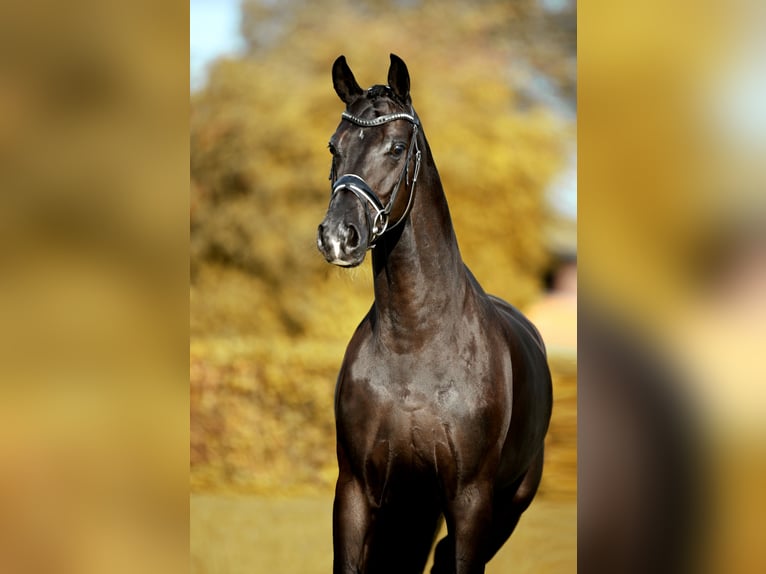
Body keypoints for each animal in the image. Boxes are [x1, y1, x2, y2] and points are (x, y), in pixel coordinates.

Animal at [316, 55, 556, 574]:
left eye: (396, 147)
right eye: (334, 145)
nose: (337, 237)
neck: (417, 342)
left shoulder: (470, 499)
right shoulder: (356, 489)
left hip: (505, 507)